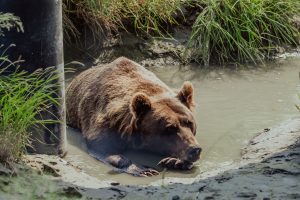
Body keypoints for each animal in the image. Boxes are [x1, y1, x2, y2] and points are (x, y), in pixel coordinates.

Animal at [66, 57, 202, 176]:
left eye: (189, 122)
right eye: (170, 128)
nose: (194, 149)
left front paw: (174, 161)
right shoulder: (106, 122)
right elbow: (103, 146)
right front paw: (143, 169)